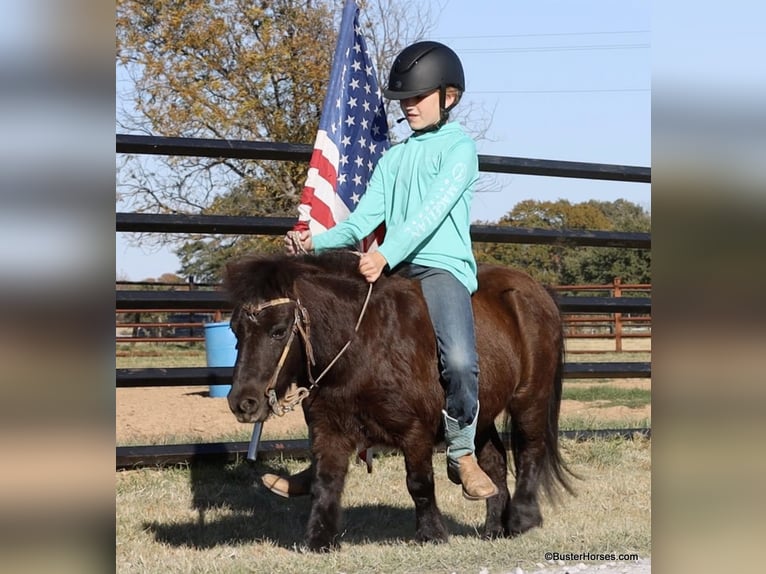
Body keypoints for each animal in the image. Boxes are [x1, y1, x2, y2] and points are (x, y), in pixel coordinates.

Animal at [225, 252, 572, 552]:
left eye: (278, 330)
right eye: (235, 330)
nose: (242, 403)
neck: (361, 347)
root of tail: (537, 291)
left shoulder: (415, 431)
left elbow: (419, 482)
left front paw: (432, 535)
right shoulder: (329, 429)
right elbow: (326, 482)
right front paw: (319, 541)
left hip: (530, 397)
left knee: (530, 450)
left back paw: (522, 518)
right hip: (480, 408)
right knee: (494, 463)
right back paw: (493, 526)